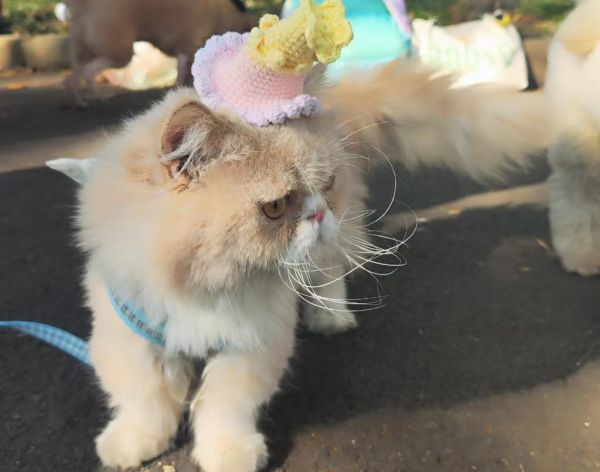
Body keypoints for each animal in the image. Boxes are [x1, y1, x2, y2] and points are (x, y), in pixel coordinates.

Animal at [53, 61, 548, 471]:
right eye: (275, 207)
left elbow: (224, 406)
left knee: (330, 277)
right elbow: (144, 397)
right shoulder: (129, 334)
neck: (203, 288)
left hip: (333, 245)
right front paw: (134, 441)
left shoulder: (254, 341)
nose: (318, 213)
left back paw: (330, 318)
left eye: (324, 185)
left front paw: (227, 453)